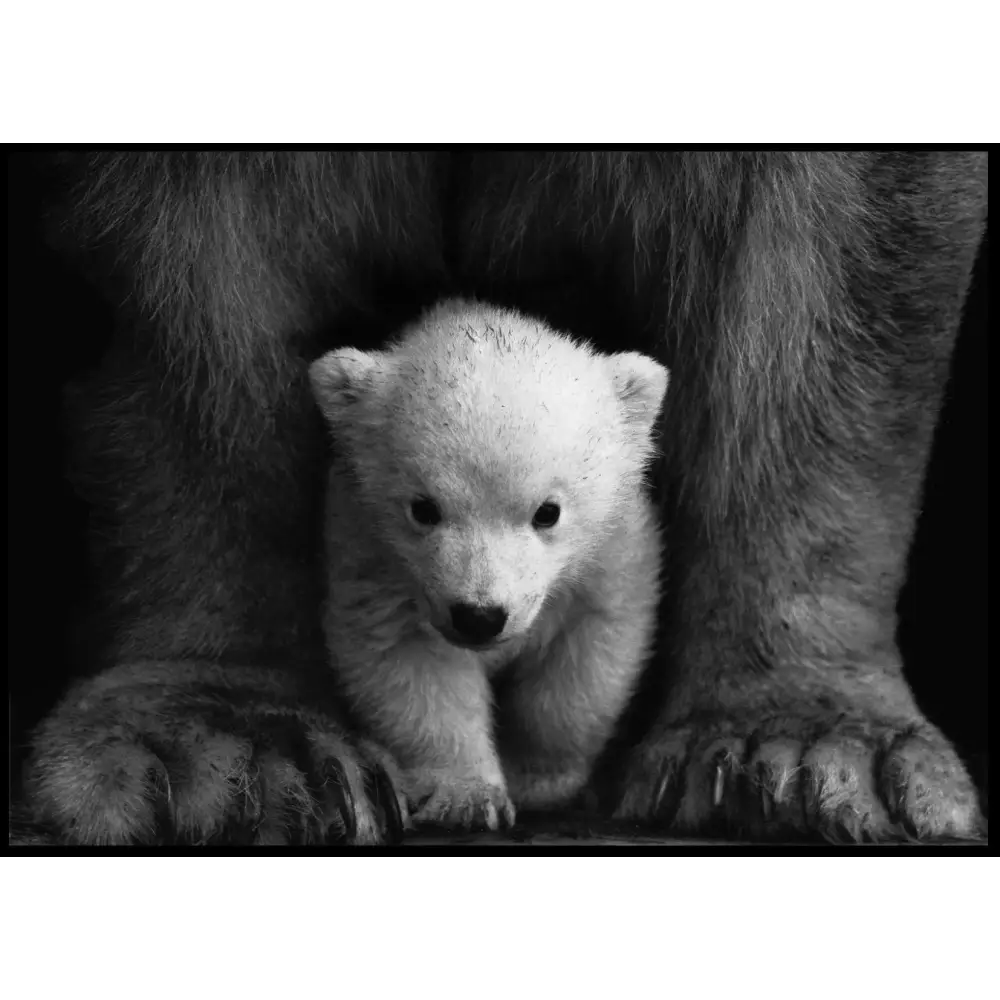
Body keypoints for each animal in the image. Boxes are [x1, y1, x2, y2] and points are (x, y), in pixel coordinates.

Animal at [308, 298, 668, 830]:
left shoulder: (612, 556)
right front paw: (467, 798)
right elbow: (411, 664)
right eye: (424, 508)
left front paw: (538, 779)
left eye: (547, 512)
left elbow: (586, 661)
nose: (479, 617)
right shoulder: (372, 557)